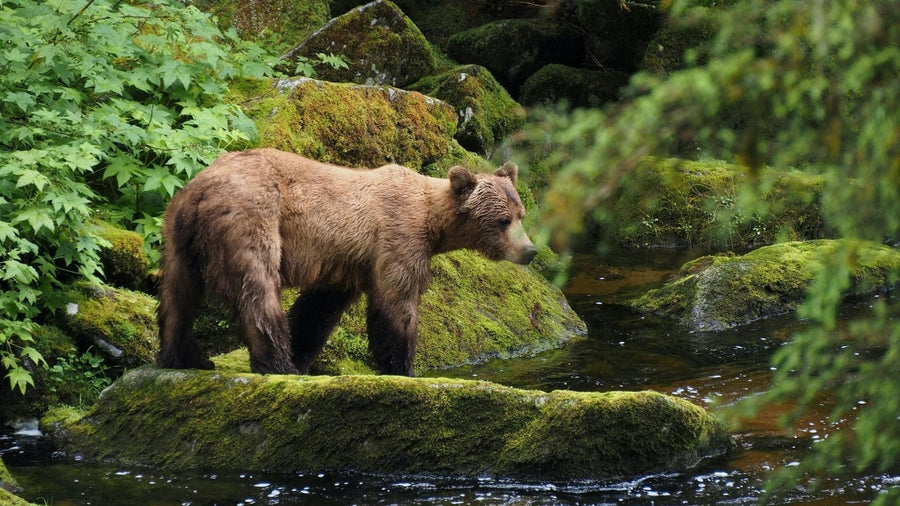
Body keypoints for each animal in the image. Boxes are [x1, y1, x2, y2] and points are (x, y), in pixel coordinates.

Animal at [156, 148, 537, 376]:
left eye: (521, 213)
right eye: (502, 220)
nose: (530, 251)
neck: (433, 220)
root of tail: (200, 188)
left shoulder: (346, 261)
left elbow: (318, 309)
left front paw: (303, 352)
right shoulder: (397, 238)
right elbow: (396, 302)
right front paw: (402, 366)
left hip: (178, 233)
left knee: (177, 295)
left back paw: (185, 356)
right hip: (251, 216)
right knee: (258, 287)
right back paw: (277, 363)